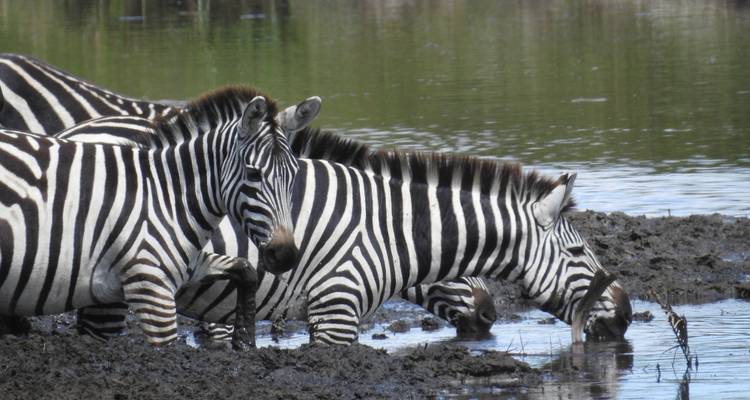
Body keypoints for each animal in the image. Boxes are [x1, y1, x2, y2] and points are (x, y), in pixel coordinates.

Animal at [0, 86, 321, 345]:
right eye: (254, 174)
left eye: (294, 174)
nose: (285, 255)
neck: (167, 196)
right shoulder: (151, 285)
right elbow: (165, 347)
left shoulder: (187, 266)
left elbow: (246, 270)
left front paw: (244, 339)